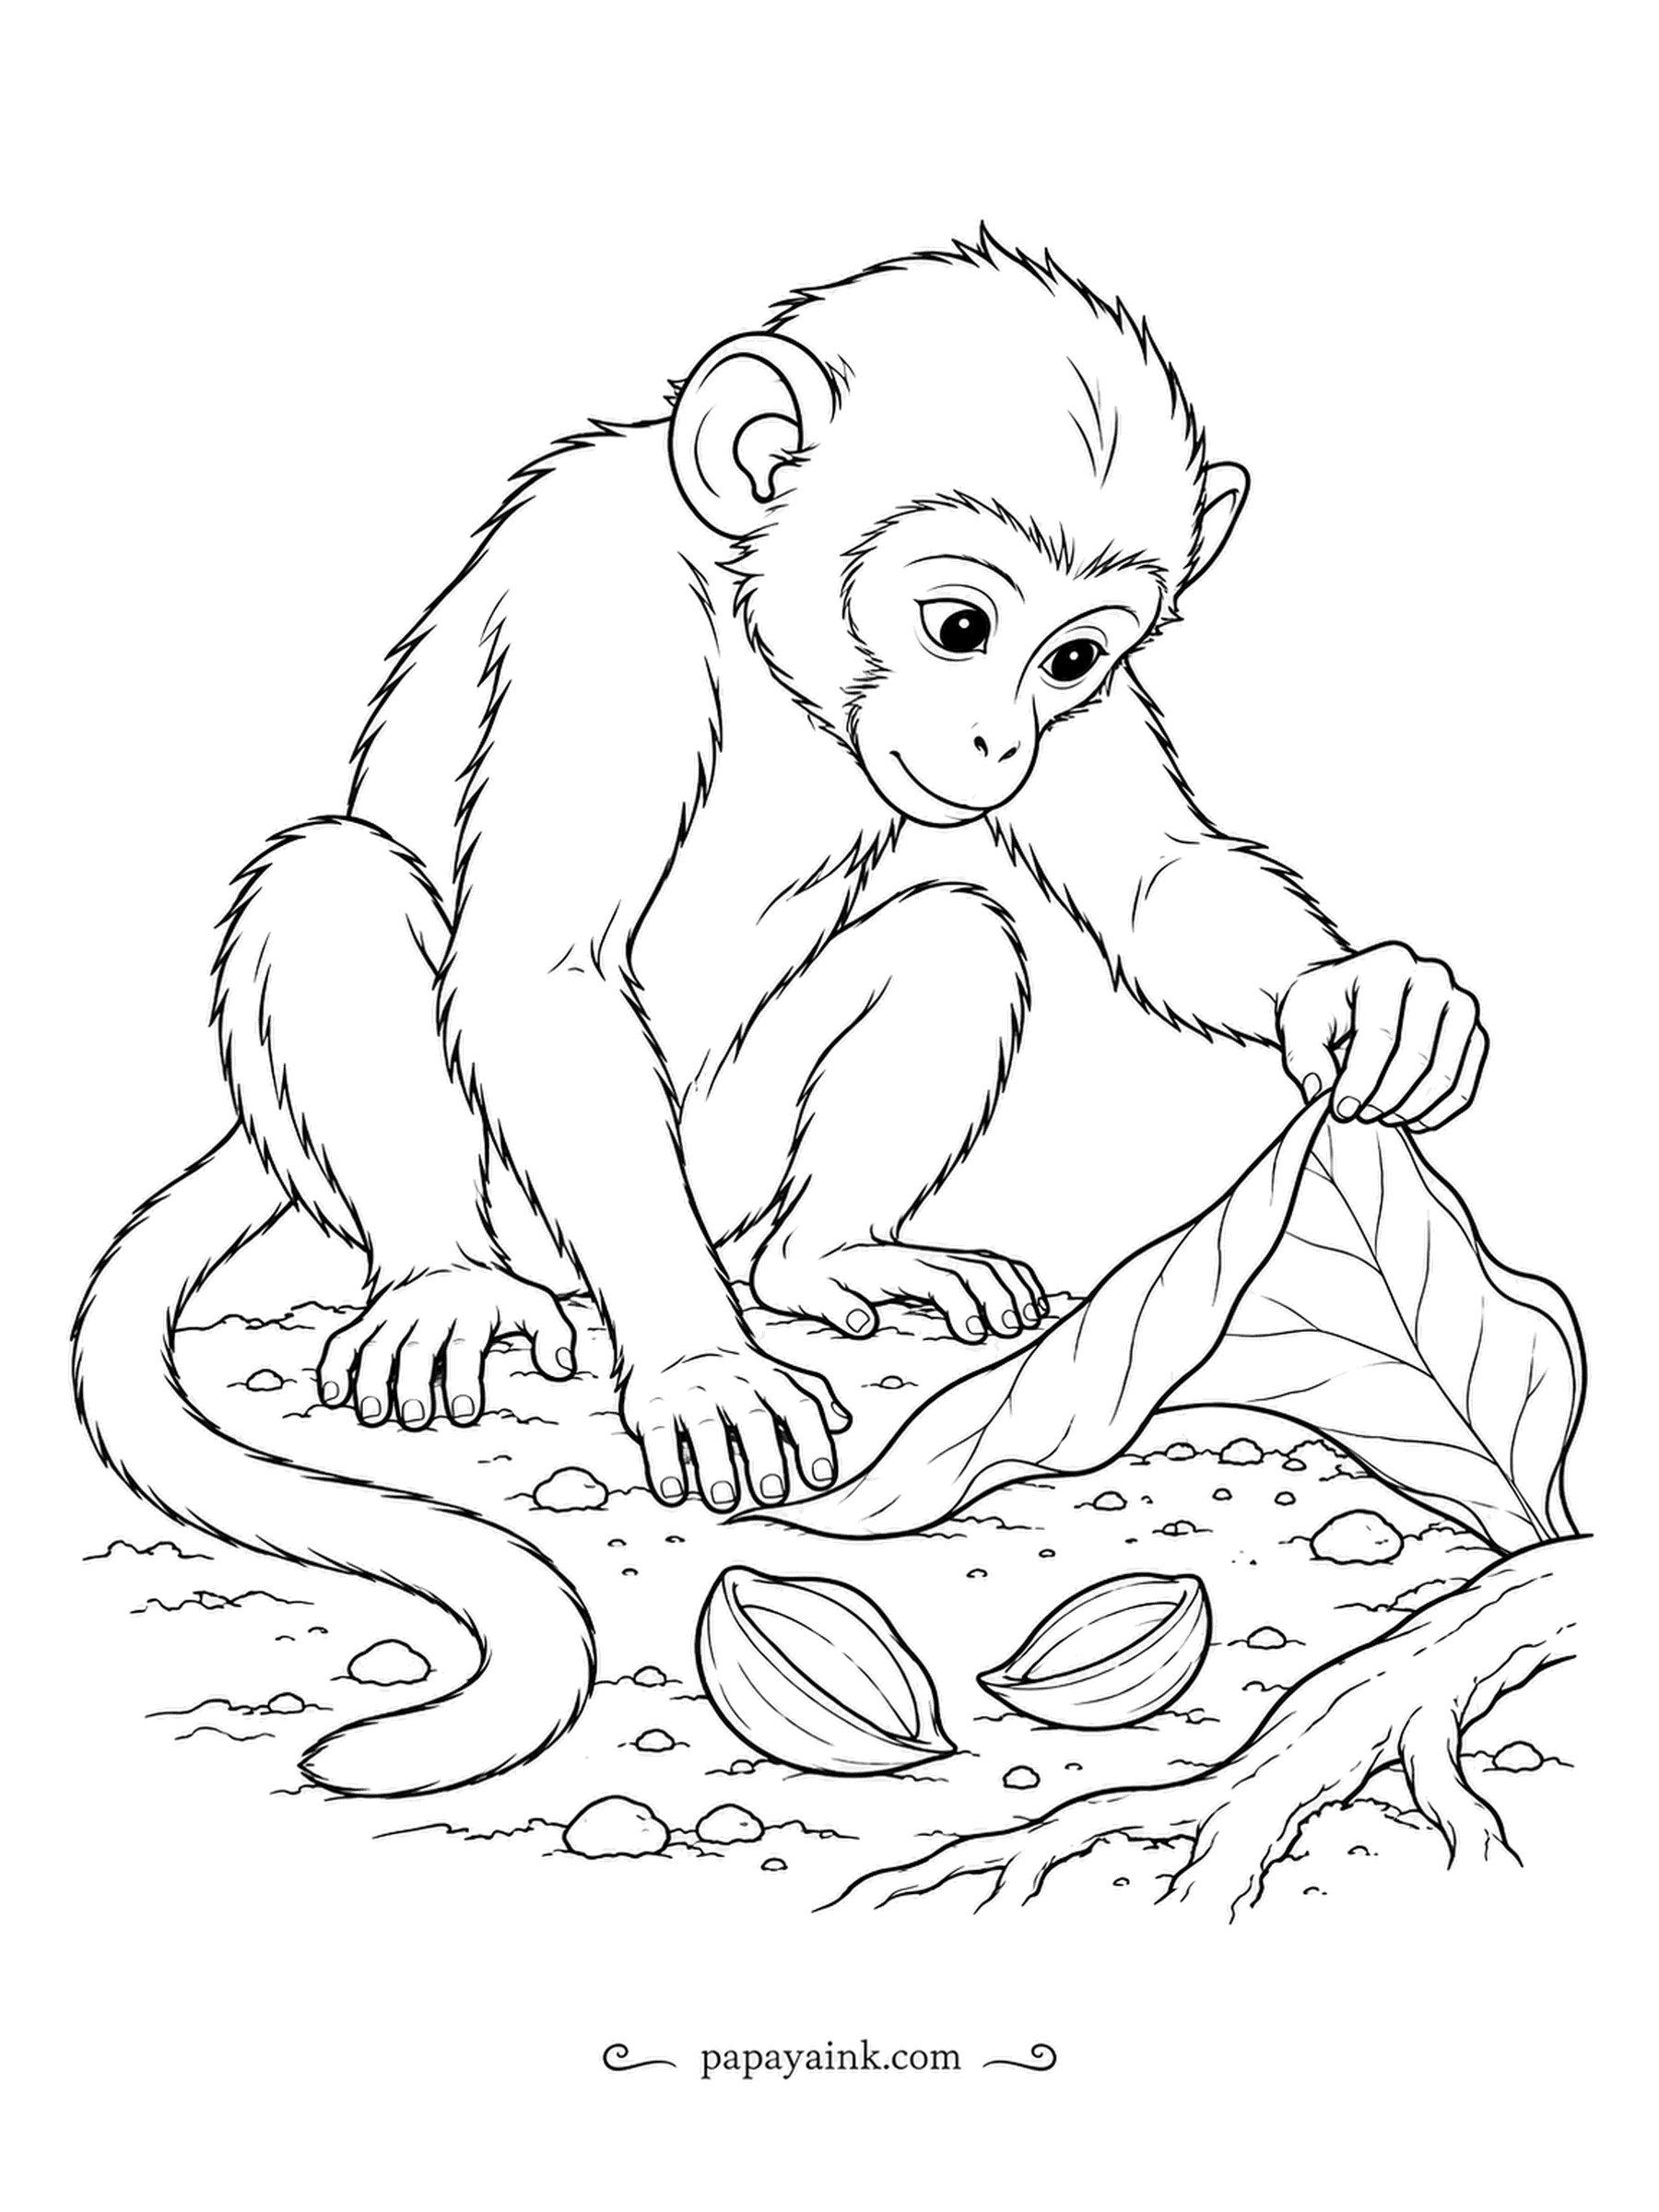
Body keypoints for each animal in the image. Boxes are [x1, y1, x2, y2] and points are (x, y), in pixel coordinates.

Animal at [73, 233, 1487, 1799]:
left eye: (1072, 661)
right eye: (959, 626)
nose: (997, 740)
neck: (753, 626)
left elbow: (1148, 881)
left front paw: (1366, 993)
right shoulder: (597, 612)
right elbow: (543, 968)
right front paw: (702, 1366)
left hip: (732, 1158)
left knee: (954, 933)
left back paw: (831, 1255)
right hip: (536, 1202)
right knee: (329, 880)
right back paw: (443, 1276)